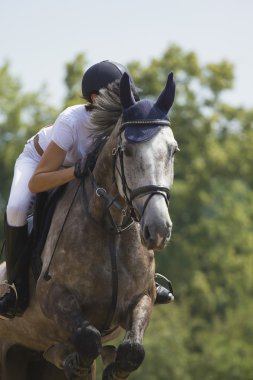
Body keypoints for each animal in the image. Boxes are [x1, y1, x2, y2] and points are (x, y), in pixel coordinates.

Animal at [0, 72, 178, 380]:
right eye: (126, 151)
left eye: (173, 151)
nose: (158, 230)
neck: (110, 228)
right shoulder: (55, 297)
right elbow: (88, 339)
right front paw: (76, 361)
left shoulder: (142, 298)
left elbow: (132, 351)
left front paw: (112, 365)